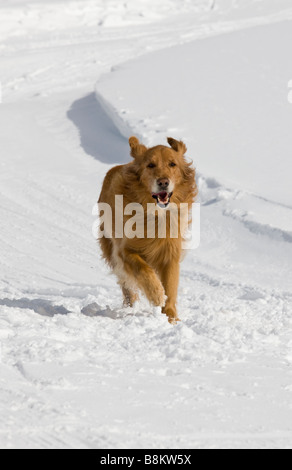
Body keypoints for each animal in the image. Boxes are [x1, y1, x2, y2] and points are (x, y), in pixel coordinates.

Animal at [98, 136, 198, 324]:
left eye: (172, 164)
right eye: (150, 165)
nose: (163, 182)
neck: (155, 214)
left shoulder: (170, 253)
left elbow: (171, 287)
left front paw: (171, 317)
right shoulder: (124, 251)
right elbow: (143, 270)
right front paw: (157, 294)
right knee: (127, 285)